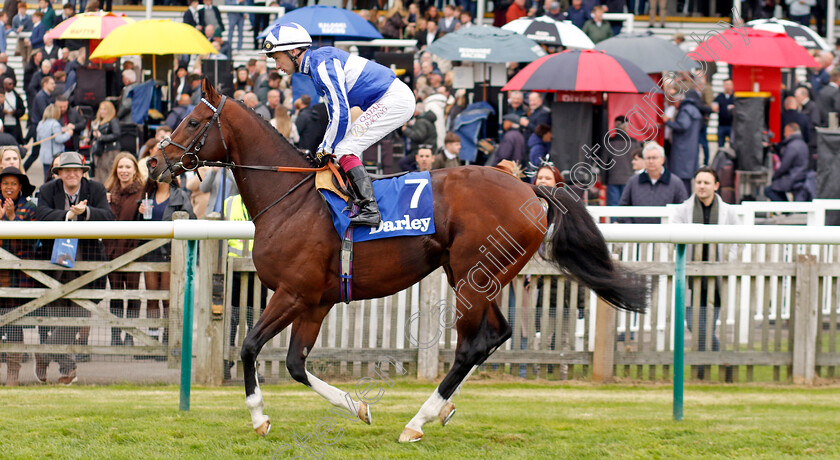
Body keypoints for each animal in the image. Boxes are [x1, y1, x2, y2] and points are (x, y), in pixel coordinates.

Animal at [148, 79, 648, 442]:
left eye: (193, 121)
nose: (154, 163)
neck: (289, 198)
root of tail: (531, 189)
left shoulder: (292, 293)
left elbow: (250, 347)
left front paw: (258, 418)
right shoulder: (316, 302)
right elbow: (294, 364)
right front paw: (358, 406)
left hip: (473, 275)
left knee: (471, 345)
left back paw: (418, 420)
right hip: (473, 275)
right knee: (497, 334)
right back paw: (443, 408)